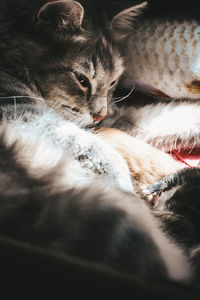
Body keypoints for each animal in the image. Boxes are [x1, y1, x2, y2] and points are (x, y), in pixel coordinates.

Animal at [0, 0, 192, 286]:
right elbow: (104, 153)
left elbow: (171, 115)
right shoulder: (25, 112)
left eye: (112, 82)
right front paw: (130, 189)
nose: (99, 114)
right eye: (82, 80)